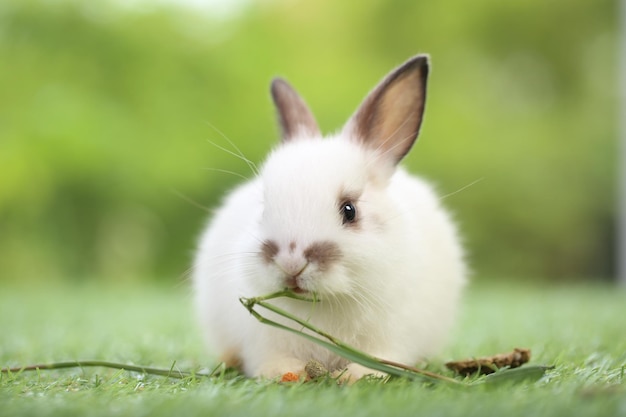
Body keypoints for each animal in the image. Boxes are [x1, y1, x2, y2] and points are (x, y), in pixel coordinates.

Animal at [193, 55, 466, 380]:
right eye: (263, 208)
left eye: (350, 210)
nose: (291, 262)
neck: (322, 305)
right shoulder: (261, 342)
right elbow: (271, 360)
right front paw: (287, 374)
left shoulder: (392, 339)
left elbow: (380, 360)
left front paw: (355, 376)